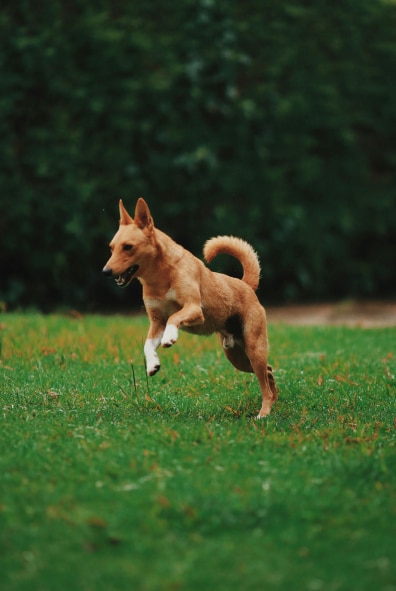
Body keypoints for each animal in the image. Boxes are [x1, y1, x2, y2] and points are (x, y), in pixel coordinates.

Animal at [102, 199, 276, 416]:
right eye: (111, 248)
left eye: (128, 247)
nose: (105, 271)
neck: (160, 278)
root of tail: (246, 285)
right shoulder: (156, 322)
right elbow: (147, 344)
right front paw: (152, 364)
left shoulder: (193, 309)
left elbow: (174, 318)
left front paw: (170, 337)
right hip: (237, 356)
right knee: (269, 373)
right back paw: (274, 403)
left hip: (253, 348)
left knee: (265, 382)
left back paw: (264, 413)